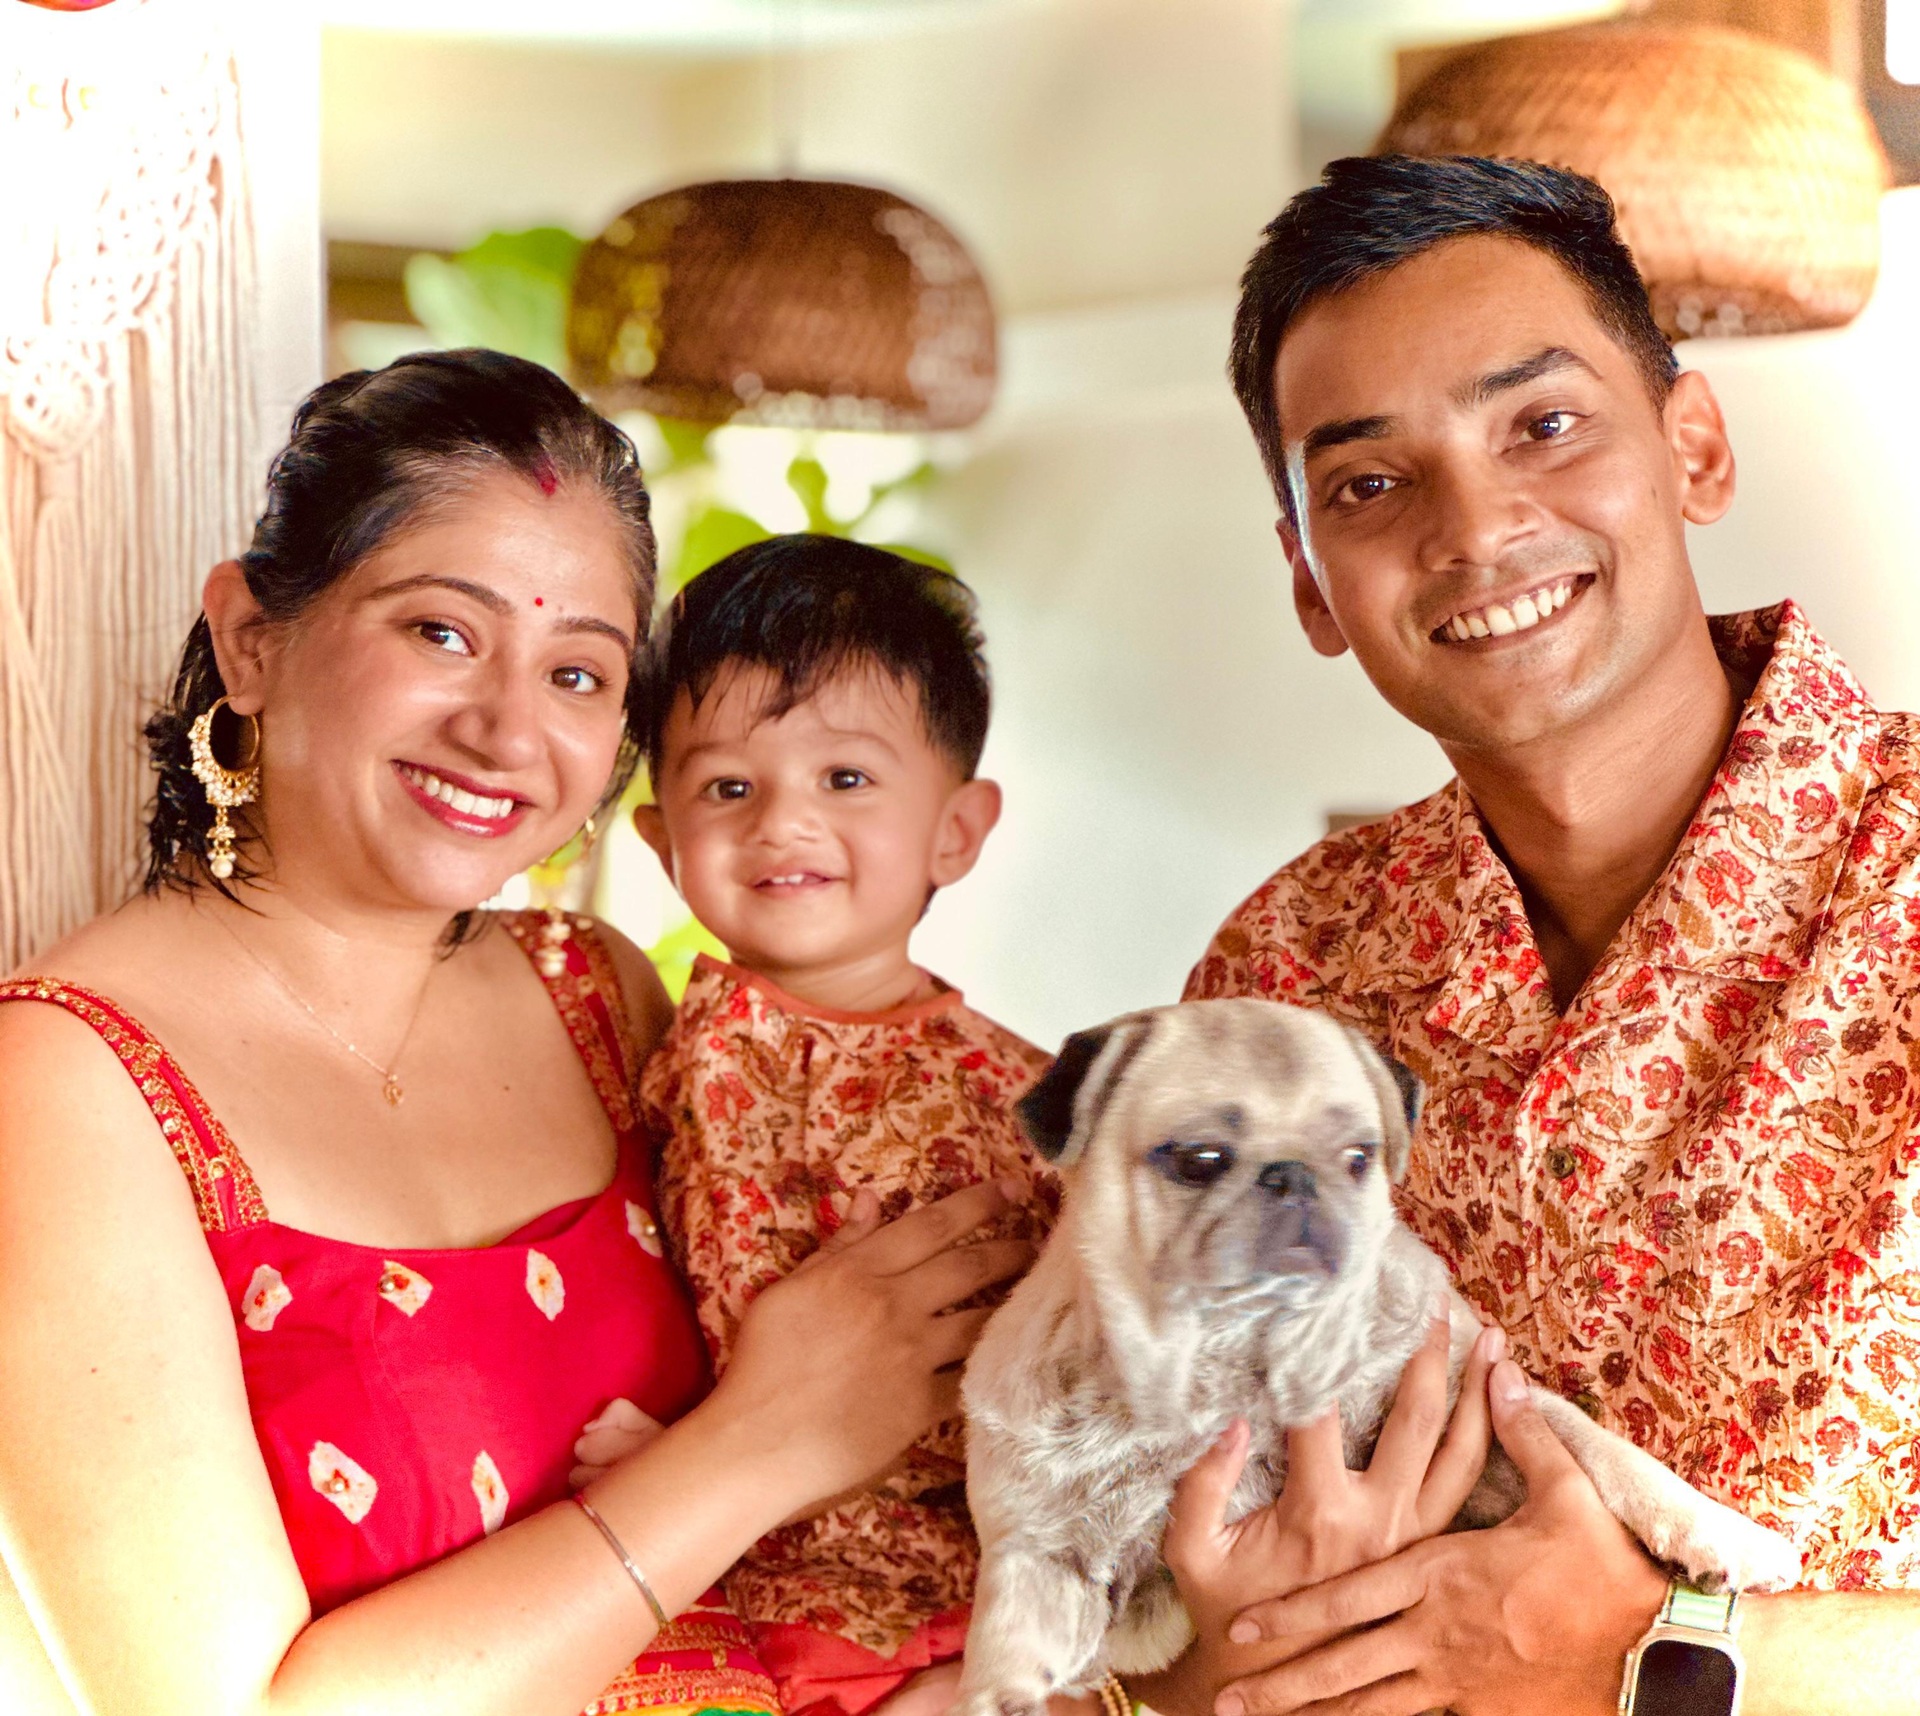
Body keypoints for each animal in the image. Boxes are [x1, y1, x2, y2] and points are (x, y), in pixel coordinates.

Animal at [956, 1000, 1798, 1716]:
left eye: (1360, 1156)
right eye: (1198, 1159)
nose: (1292, 1177)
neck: (1245, 1366)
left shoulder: (1482, 1393)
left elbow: (1612, 1455)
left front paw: (1725, 1536)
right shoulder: (1064, 1569)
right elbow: (1013, 1642)